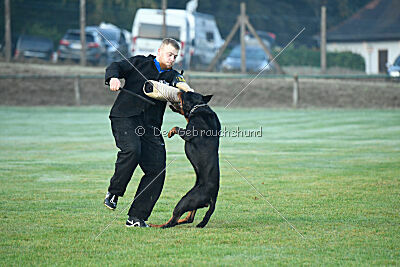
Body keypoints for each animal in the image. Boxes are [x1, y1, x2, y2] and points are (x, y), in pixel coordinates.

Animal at [150, 91, 220, 228]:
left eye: (187, 93)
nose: (180, 90)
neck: (198, 107)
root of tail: (213, 199)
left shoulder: (188, 133)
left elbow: (177, 127)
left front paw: (171, 132)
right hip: (193, 202)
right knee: (189, 218)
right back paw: (183, 221)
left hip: (186, 200)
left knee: (171, 221)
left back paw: (155, 226)